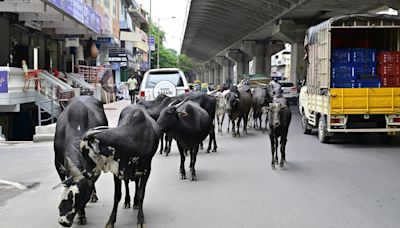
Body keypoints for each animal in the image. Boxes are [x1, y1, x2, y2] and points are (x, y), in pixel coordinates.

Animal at [54, 95, 108, 226]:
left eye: (78, 197)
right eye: (63, 195)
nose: (63, 221)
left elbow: (90, 186)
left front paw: (81, 216)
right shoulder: (58, 164)